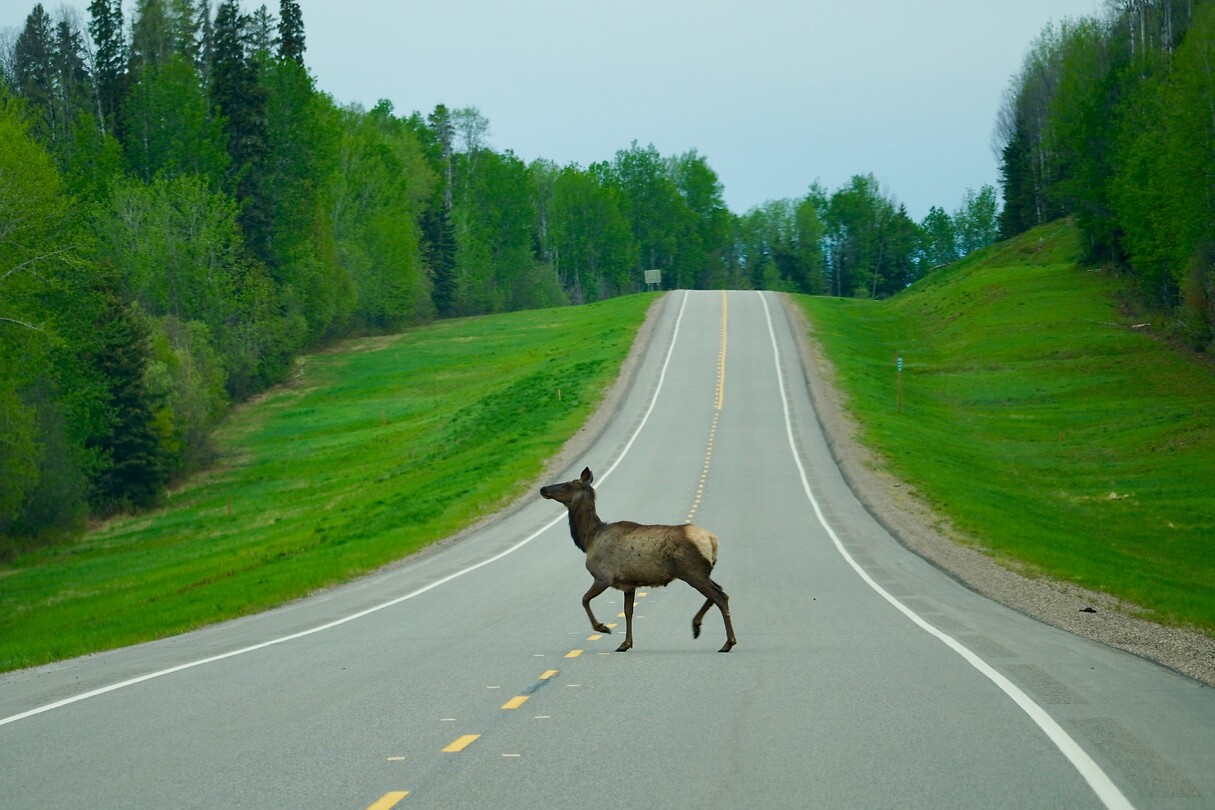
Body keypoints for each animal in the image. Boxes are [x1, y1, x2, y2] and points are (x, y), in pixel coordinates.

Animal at [540, 467, 736, 652]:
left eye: (567, 484)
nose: (543, 489)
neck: (589, 540)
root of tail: (712, 540)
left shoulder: (603, 577)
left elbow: (584, 599)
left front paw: (603, 628)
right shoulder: (629, 584)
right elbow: (628, 612)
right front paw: (625, 643)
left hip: (692, 571)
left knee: (720, 596)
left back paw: (728, 642)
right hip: (702, 571)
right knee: (718, 590)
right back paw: (697, 625)